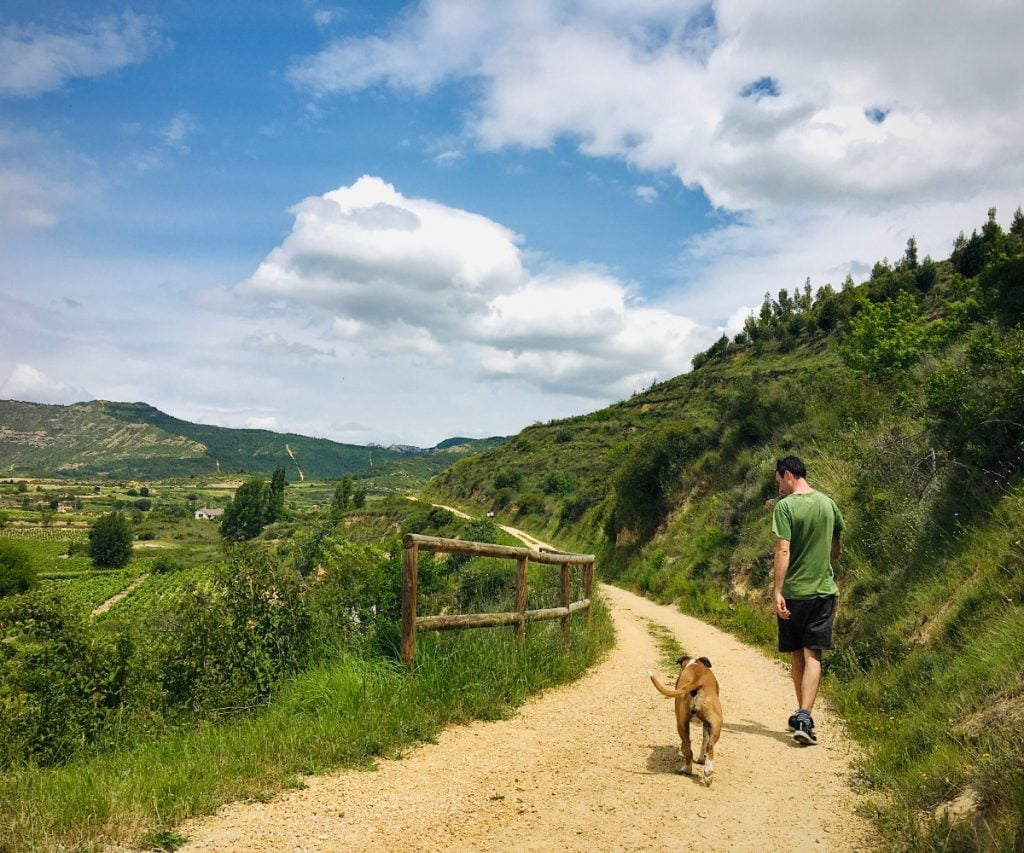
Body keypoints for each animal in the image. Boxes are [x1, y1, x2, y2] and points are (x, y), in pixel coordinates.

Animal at [651, 651, 724, 786]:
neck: (694, 664)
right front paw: (701, 759)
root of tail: (697, 680)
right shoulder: (706, 724)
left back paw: (687, 768)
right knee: (709, 746)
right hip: (716, 724)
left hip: (681, 724)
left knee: (689, 749)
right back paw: (707, 773)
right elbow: (704, 740)